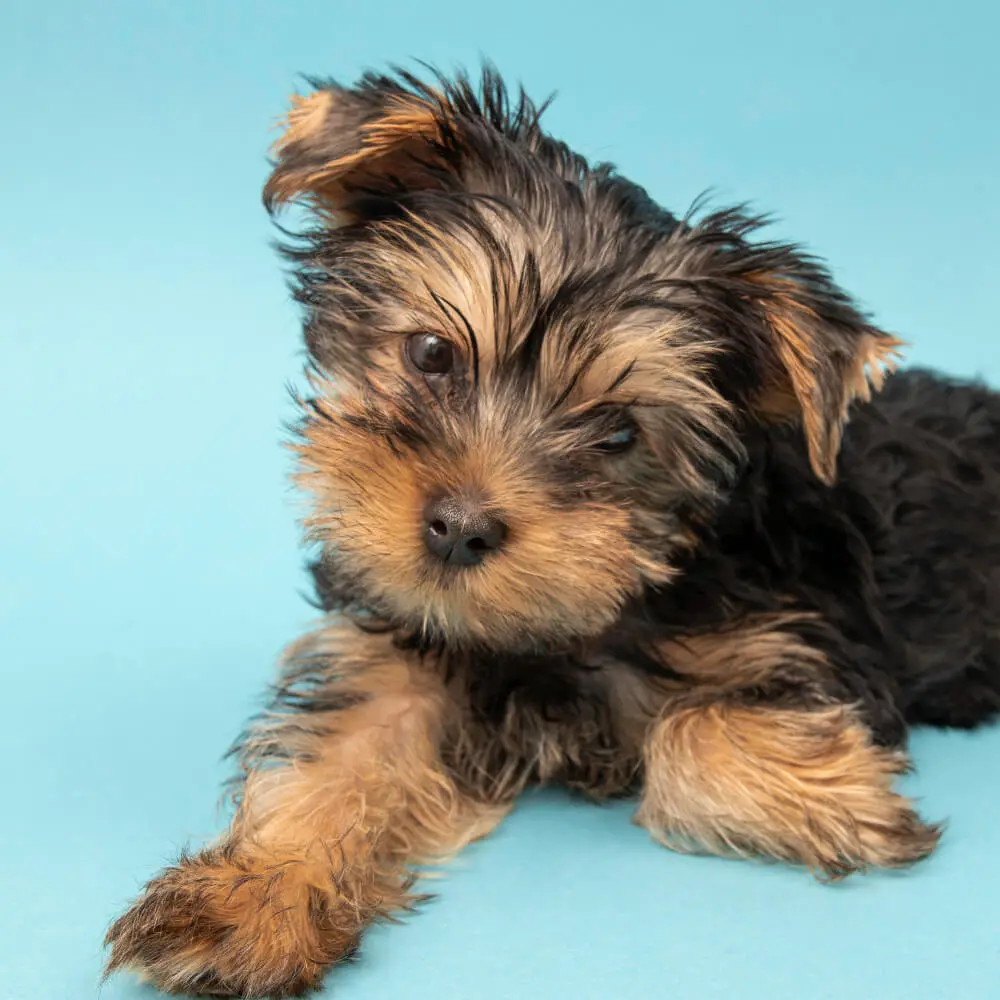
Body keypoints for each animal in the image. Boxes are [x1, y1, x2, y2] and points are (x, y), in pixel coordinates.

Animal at [105, 66, 1000, 996]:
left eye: (617, 434)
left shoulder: (811, 638)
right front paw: (252, 896)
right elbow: (342, 751)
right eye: (431, 355)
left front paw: (836, 799)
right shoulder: (399, 645)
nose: (459, 528)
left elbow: (690, 732)